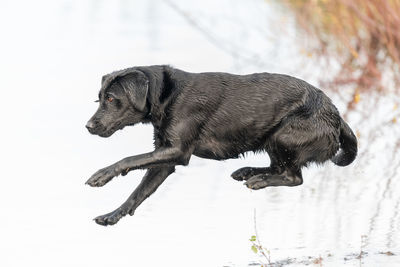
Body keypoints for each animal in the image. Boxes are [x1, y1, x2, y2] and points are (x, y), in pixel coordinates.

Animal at [85, 65, 356, 226]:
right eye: (98, 99)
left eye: (111, 99)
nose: (88, 126)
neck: (165, 95)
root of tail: (337, 115)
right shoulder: (165, 158)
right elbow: (138, 193)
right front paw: (113, 215)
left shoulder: (177, 151)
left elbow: (128, 160)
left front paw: (101, 176)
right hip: (272, 138)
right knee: (279, 168)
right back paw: (249, 172)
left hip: (285, 134)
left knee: (293, 176)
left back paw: (258, 180)